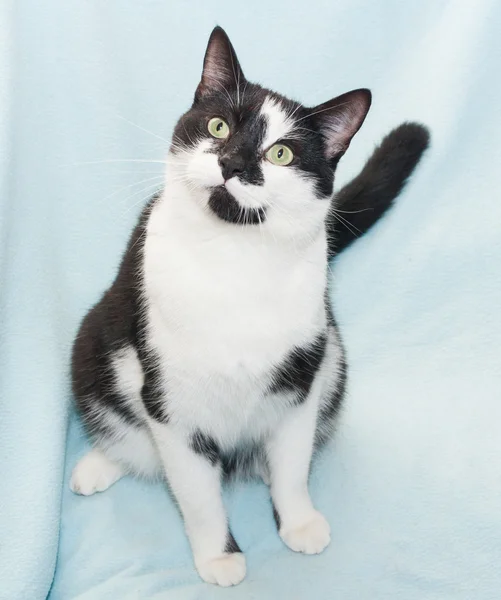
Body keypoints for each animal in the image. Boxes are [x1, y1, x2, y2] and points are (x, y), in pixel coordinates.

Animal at [70, 27, 428, 584]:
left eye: (281, 154)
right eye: (218, 125)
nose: (232, 164)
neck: (234, 258)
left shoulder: (301, 380)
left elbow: (292, 465)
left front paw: (298, 521)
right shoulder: (170, 401)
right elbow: (197, 496)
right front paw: (219, 556)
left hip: (334, 357)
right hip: (93, 342)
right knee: (120, 425)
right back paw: (98, 464)